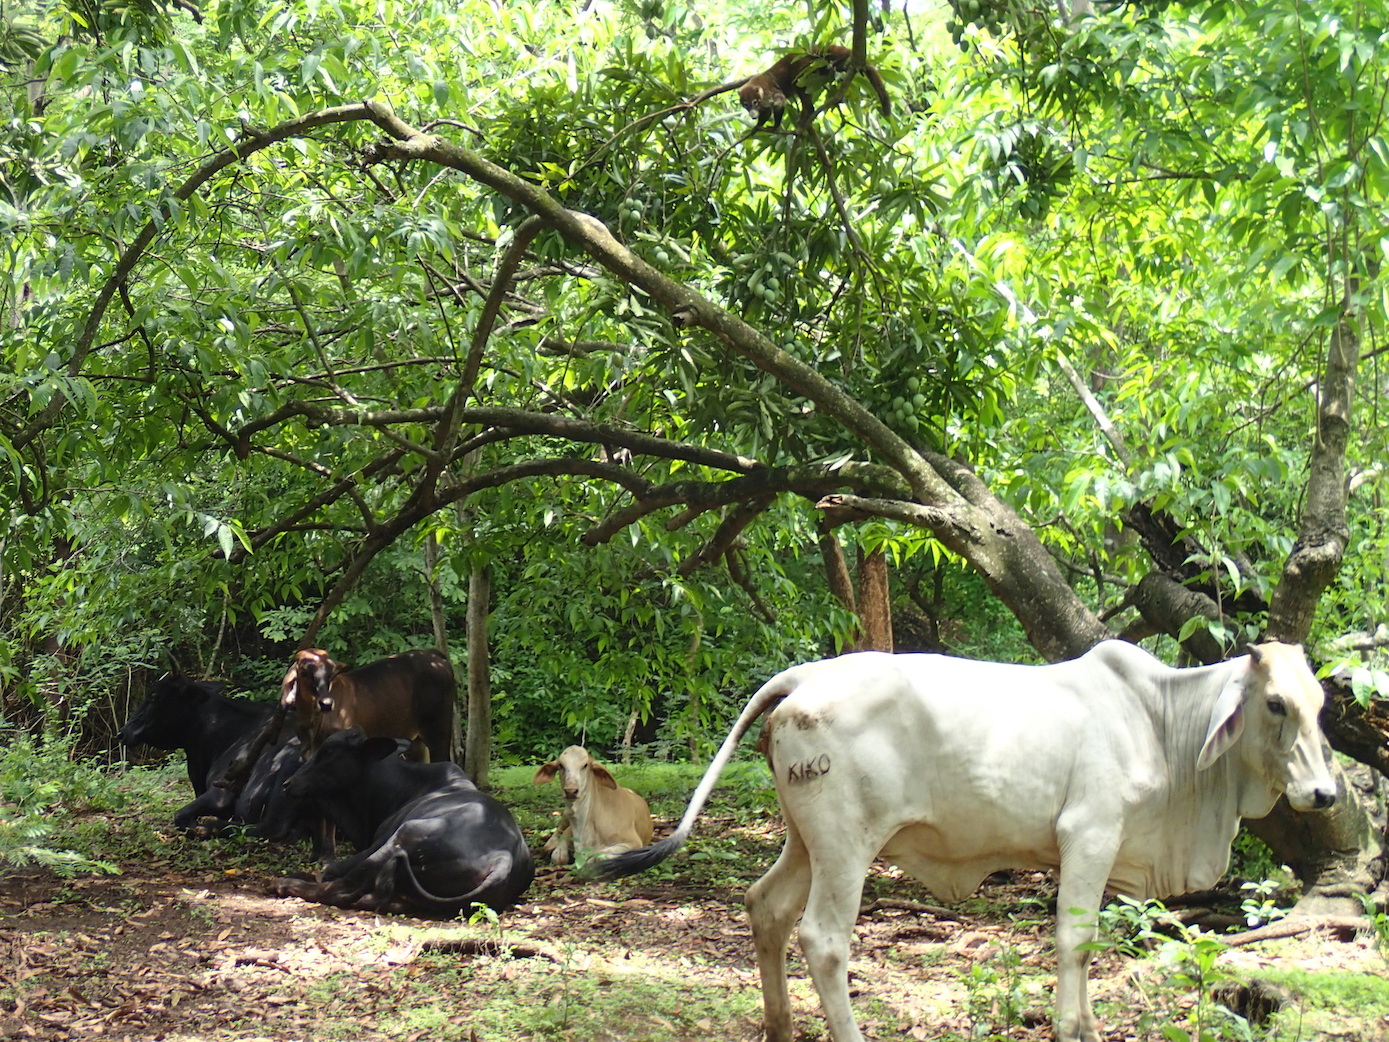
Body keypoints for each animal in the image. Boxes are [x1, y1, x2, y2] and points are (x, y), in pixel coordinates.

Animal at [269, 728, 530, 916]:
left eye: (329, 752)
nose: (288, 783)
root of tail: (503, 856)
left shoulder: (377, 841)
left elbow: (332, 870)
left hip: (403, 835)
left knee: (339, 889)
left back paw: (287, 883)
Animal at [597, 641, 1333, 1042]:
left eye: (1320, 704)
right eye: (1275, 704)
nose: (1324, 794)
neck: (1157, 720)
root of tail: (804, 676)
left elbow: (1090, 942)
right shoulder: (1089, 834)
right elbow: (1073, 938)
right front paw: (1070, 1027)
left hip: (804, 841)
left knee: (764, 906)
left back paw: (780, 1026)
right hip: (846, 845)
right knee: (822, 937)